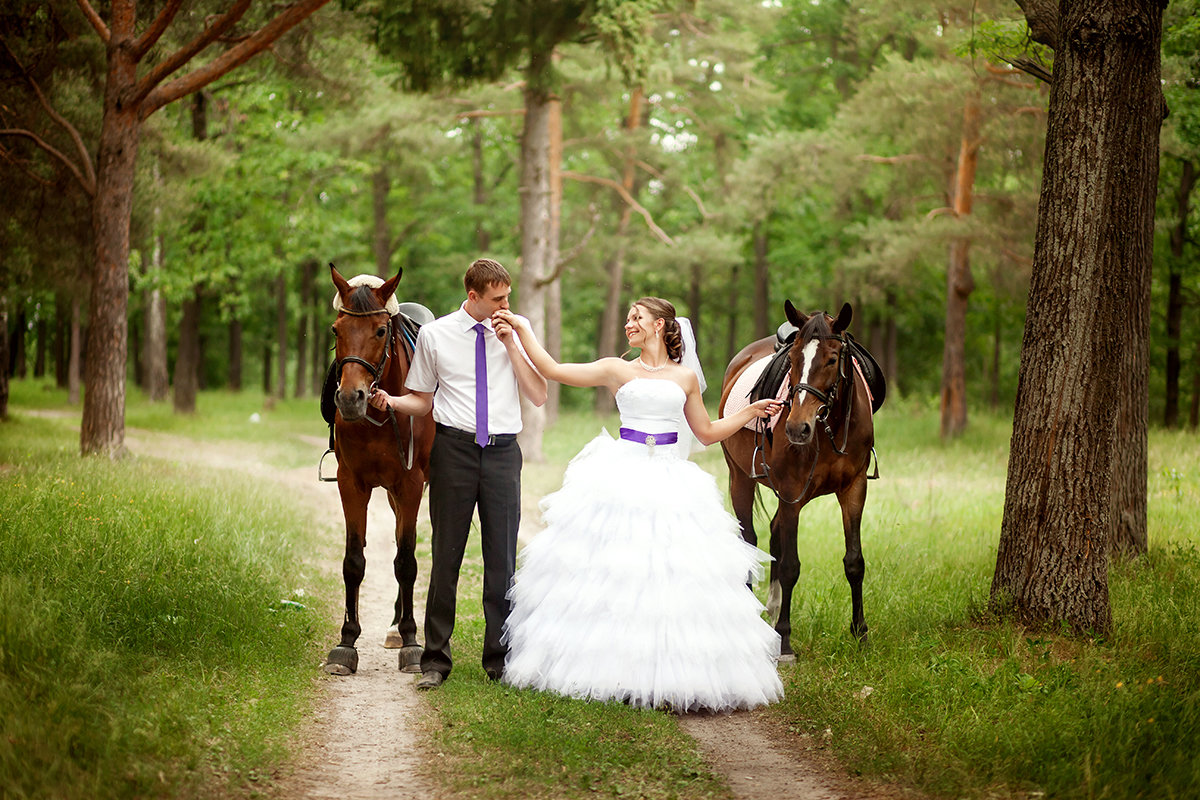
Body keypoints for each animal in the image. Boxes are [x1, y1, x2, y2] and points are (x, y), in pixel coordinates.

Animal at [326, 267, 434, 676]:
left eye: (381, 330)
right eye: (336, 329)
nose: (349, 398)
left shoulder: (411, 484)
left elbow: (406, 562)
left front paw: (412, 641)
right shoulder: (351, 483)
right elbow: (353, 561)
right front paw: (346, 642)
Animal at [715, 299, 878, 657]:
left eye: (832, 359)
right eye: (792, 361)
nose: (796, 428)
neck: (829, 429)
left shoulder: (855, 489)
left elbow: (855, 561)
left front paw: (860, 633)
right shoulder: (792, 493)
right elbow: (791, 565)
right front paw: (785, 642)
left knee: (774, 532)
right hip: (740, 479)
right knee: (750, 539)